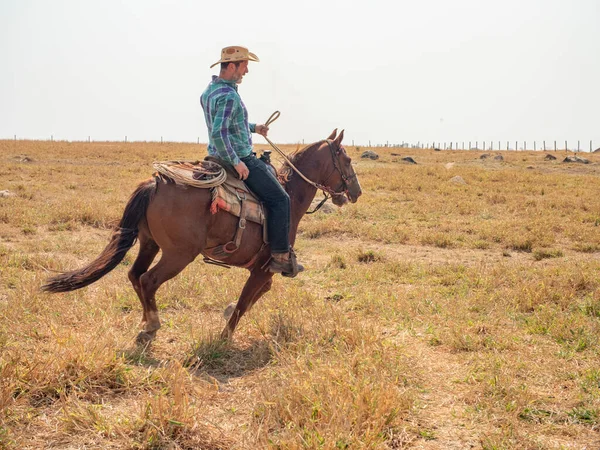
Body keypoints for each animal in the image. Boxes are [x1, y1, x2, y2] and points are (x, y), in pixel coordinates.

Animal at [43, 129, 360, 342]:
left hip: (149, 243)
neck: (289, 196)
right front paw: (225, 336)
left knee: (134, 275)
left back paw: (145, 320)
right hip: (179, 254)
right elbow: (244, 302)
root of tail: (155, 183)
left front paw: (226, 314)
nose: (356, 192)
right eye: (347, 158)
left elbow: (257, 295)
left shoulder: (263, 271)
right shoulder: (263, 267)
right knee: (148, 280)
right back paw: (153, 323)